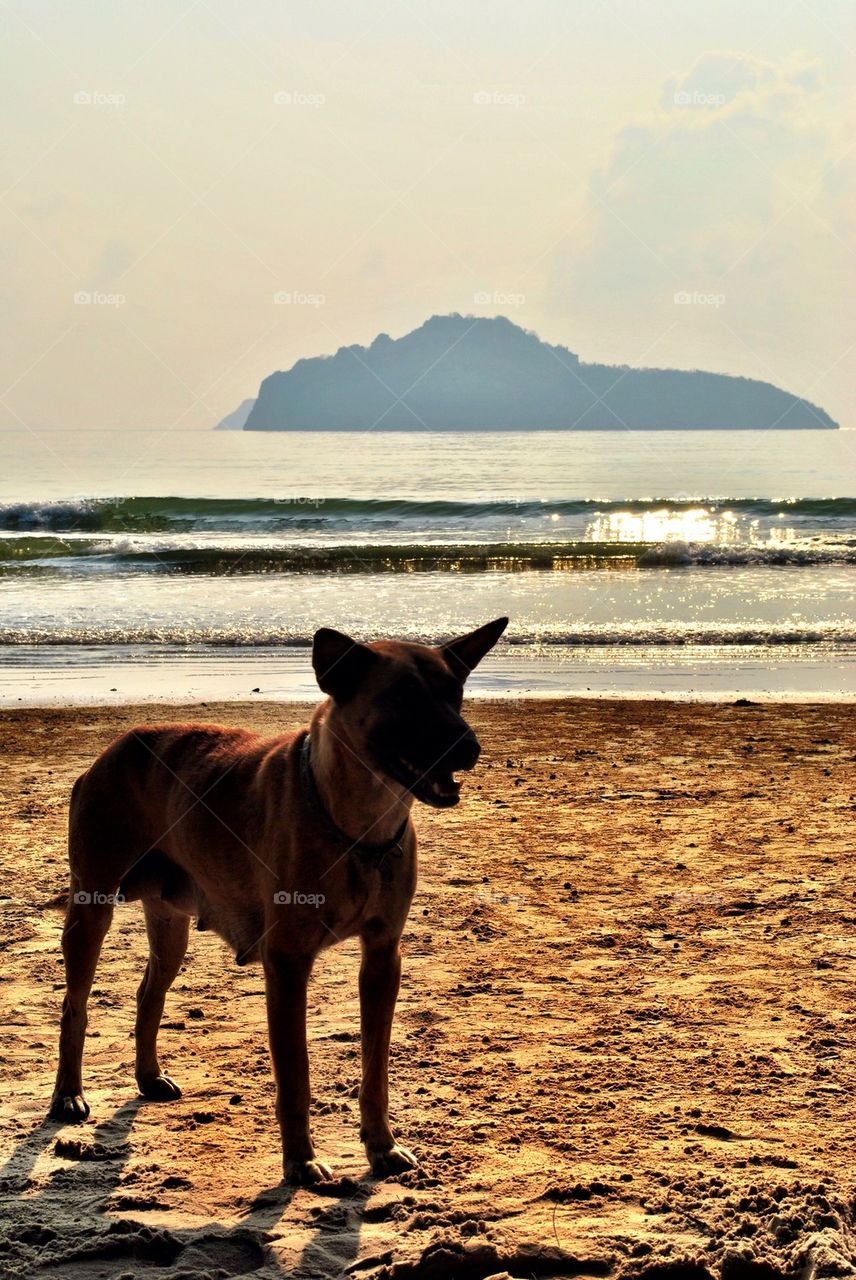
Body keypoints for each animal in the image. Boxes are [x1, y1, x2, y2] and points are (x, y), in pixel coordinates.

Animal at [50, 614, 506, 1182]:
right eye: (402, 698)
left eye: (455, 693)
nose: (468, 748)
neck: (352, 821)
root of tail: (113, 749)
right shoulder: (287, 963)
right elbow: (296, 1074)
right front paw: (301, 1160)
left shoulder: (383, 958)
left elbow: (375, 1066)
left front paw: (380, 1145)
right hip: (91, 908)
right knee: (75, 1004)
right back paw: (67, 1094)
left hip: (170, 920)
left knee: (148, 992)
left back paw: (148, 1076)